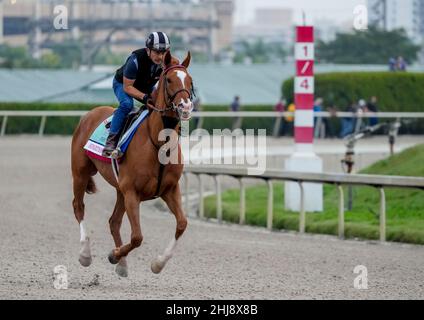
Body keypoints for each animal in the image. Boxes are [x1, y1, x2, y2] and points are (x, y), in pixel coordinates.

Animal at [71, 51, 194, 276]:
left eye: (190, 80)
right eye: (169, 80)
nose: (186, 106)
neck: (159, 143)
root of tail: (89, 114)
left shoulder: (170, 189)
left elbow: (182, 224)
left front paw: (157, 263)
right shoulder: (132, 192)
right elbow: (137, 237)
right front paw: (113, 255)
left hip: (119, 188)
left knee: (113, 221)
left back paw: (122, 264)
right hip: (80, 173)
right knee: (79, 206)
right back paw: (85, 254)